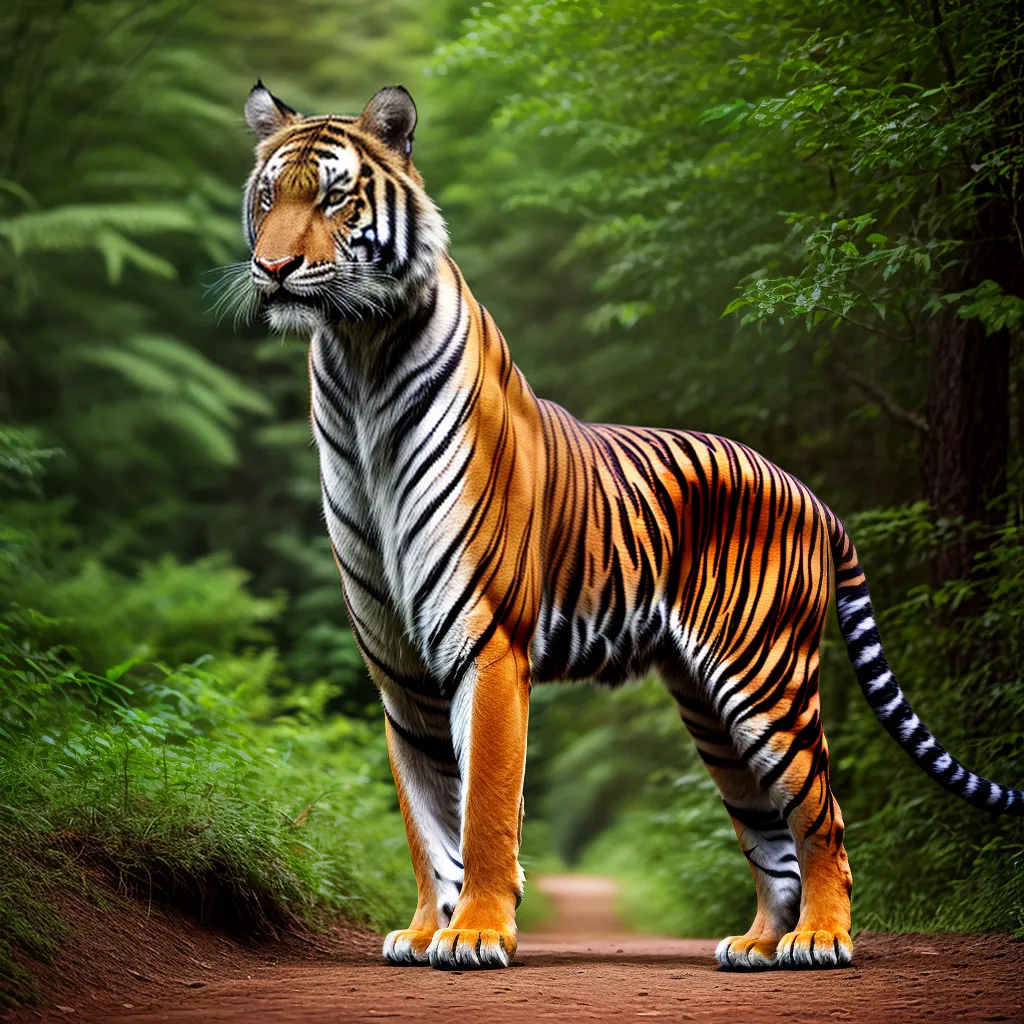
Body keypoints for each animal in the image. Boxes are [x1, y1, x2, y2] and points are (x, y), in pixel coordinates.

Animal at [237, 82, 1024, 972]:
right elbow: (425, 819)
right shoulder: (398, 666)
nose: (273, 269)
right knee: (771, 838)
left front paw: (475, 932)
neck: (359, 359)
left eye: (334, 197)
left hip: (769, 680)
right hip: (711, 708)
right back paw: (757, 945)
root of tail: (808, 491)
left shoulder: (488, 640)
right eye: (268, 197)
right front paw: (426, 930)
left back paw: (821, 940)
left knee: (821, 816)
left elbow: (483, 811)